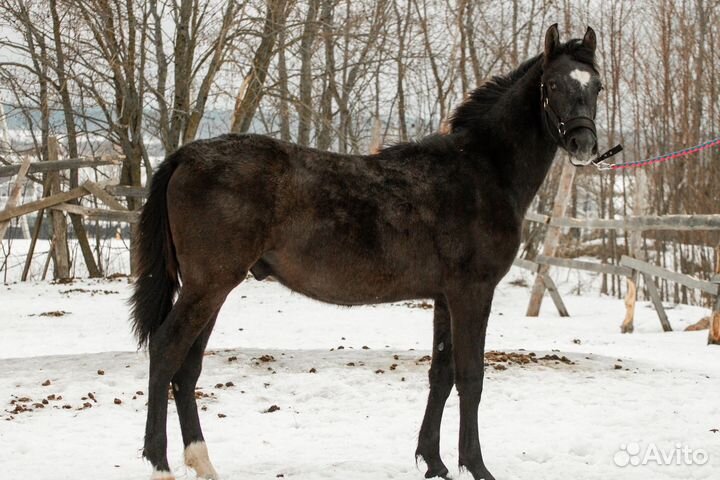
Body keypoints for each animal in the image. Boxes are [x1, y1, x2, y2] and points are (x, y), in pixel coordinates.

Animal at [132, 25, 604, 480]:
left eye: (596, 85)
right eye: (554, 84)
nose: (583, 145)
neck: (482, 171)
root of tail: (185, 155)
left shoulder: (444, 297)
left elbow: (441, 374)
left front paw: (433, 462)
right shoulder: (473, 293)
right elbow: (471, 378)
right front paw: (477, 466)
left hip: (213, 289)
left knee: (188, 368)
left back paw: (202, 462)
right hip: (208, 285)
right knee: (166, 350)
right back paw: (159, 464)